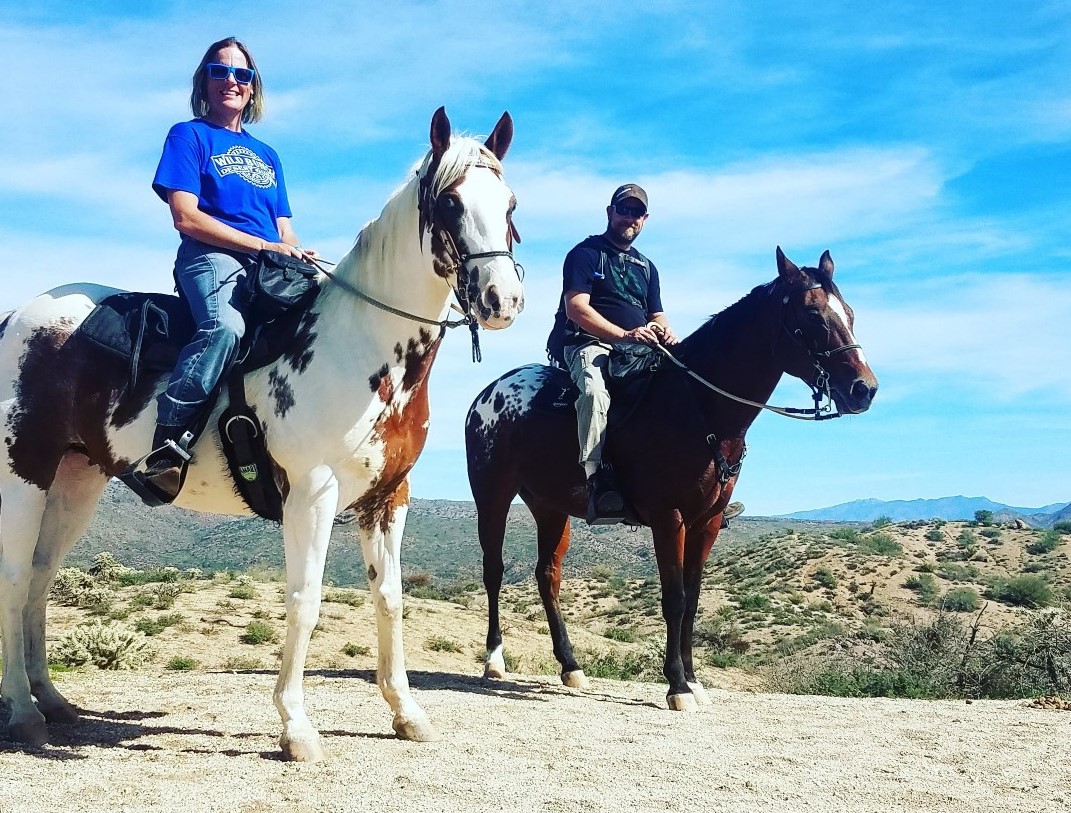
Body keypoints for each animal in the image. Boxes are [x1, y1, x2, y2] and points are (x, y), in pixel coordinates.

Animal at [0, 108, 526, 762]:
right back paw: (23, 713)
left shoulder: (388, 498)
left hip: (77, 480)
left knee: (41, 577)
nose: (503, 300)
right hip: (25, 472)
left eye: (509, 204)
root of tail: (19, 316)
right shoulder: (313, 494)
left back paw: (51, 700)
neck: (361, 343)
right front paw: (296, 727)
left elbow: (390, 600)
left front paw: (406, 712)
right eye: (450, 203)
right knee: (15, 577)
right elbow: (305, 600)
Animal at [464, 248, 873, 711]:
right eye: (813, 313)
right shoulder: (668, 519)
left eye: (850, 313)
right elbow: (674, 600)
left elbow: (692, 600)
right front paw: (677, 685)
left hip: (550, 508)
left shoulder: (706, 523)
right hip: (492, 496)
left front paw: (693, 680)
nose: (864, 389)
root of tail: (487, 394)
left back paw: (570, 665)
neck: (701, 408)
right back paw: (494, 661)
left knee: (547, 575)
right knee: (494, 570)